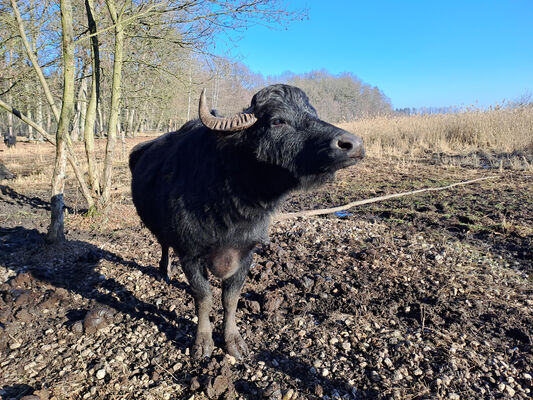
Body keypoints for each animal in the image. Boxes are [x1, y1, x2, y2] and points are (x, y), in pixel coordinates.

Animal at [129, 84, 364, 360]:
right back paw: (164, 271)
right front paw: (203, 343)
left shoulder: (245, 254)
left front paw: (234, 341)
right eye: (277, 120)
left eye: (312, 113)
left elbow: (230, 299)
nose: (353, 144)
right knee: (164, 245)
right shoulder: (190, 254)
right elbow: (204, 298)